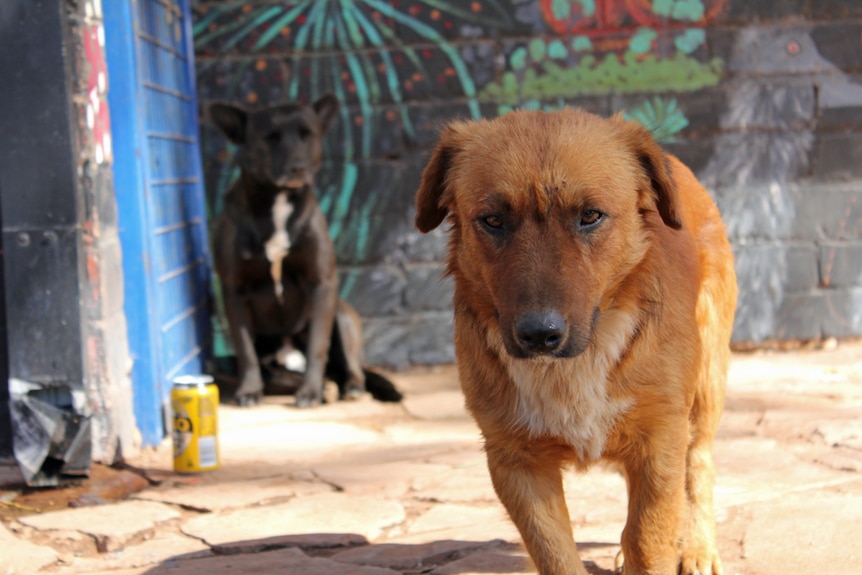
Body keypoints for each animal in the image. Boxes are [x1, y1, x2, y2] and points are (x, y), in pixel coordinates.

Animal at [209, 94, 402, 408]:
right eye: (270, 137)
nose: (297, 167)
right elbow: (245, 349)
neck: (278, 202)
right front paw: (249, 390)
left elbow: (317, 346)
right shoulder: (233, 289)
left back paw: (347, 386)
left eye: (307, 135)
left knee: (350, 367)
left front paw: (310, 391)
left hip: (342, 313)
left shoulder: (322, 283)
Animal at [416, 109, 740, 575]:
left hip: (706, 383)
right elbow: (555, 554)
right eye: (493, 220)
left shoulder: (661, 437)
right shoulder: (515, 459)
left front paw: (661, 548)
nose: (539, 334)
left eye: (590, 216)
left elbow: (649, 538)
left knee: (698, 464)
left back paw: (697, 546)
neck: (577, 362)